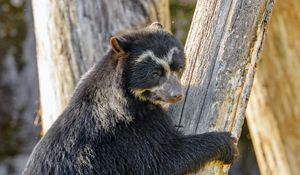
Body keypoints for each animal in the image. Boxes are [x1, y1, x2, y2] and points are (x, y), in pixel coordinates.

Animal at [22, 22, 239, 175]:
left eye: (178, 67)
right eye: (155, 73)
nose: (177, 95)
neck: (129, 98)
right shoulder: (128, 134)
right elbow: (161, 159)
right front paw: (228, 145)